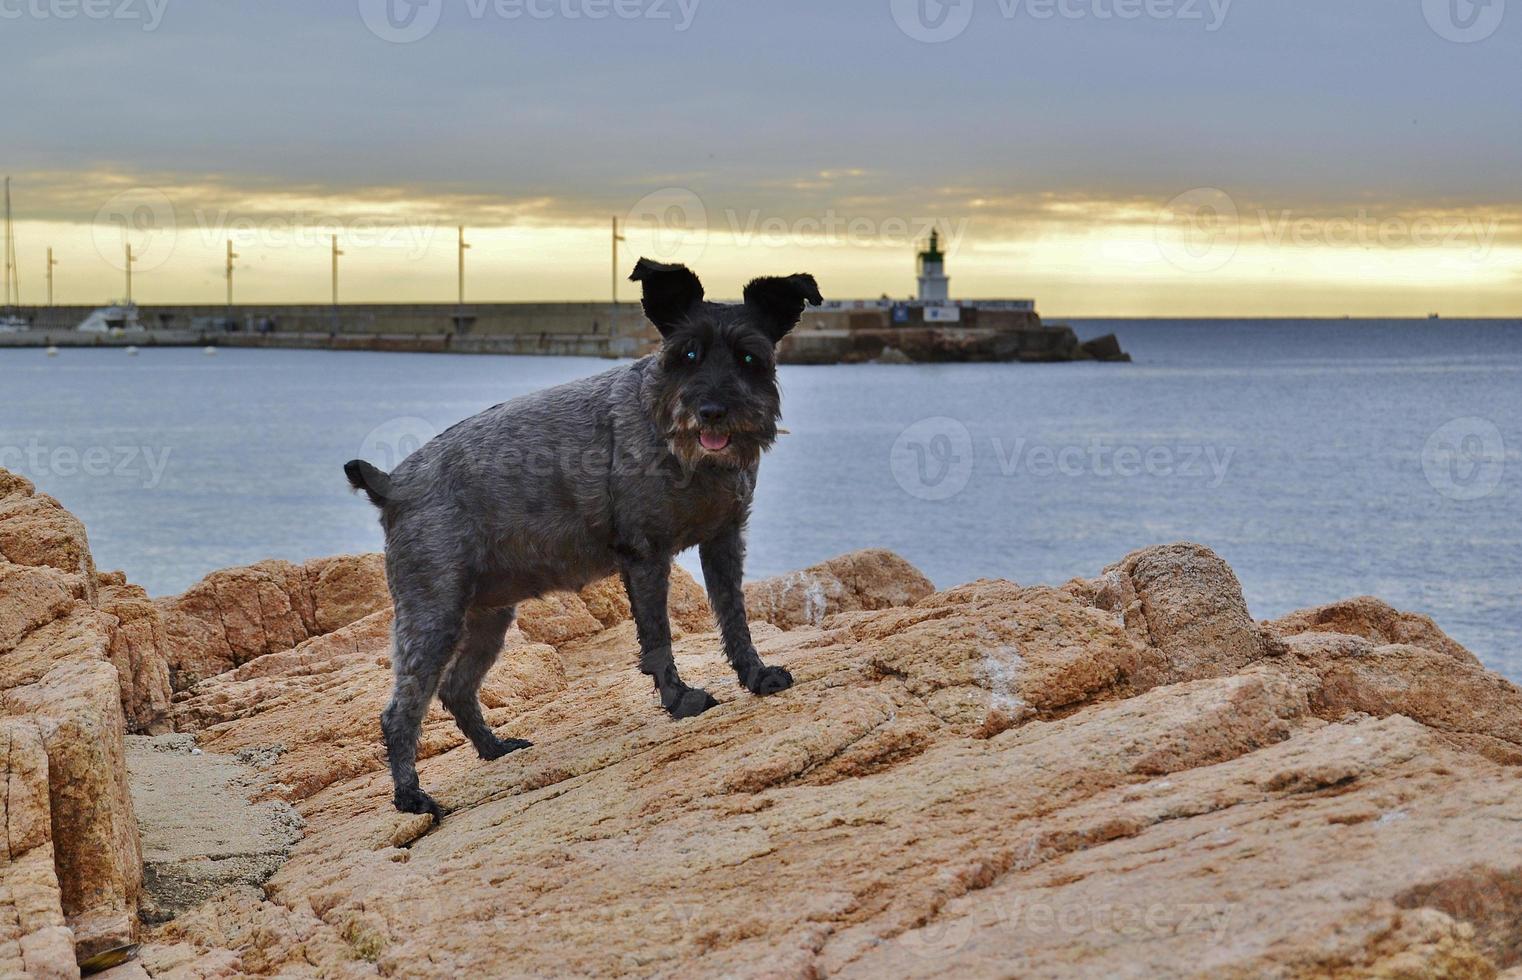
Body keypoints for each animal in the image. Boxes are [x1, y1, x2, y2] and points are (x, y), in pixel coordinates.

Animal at [345, 257, 821, 815]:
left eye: (751, 357)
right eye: (687, 353)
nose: (712, 411)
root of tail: (394, 484)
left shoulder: (724, 541)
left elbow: (735, 620)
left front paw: (756, 677)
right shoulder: (645, 556)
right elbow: (658, 638)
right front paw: (681, 701)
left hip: (488, 617)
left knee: (456, 689)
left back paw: (495, 749)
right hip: (433, 615)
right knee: (402, 709)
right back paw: (410, 795)